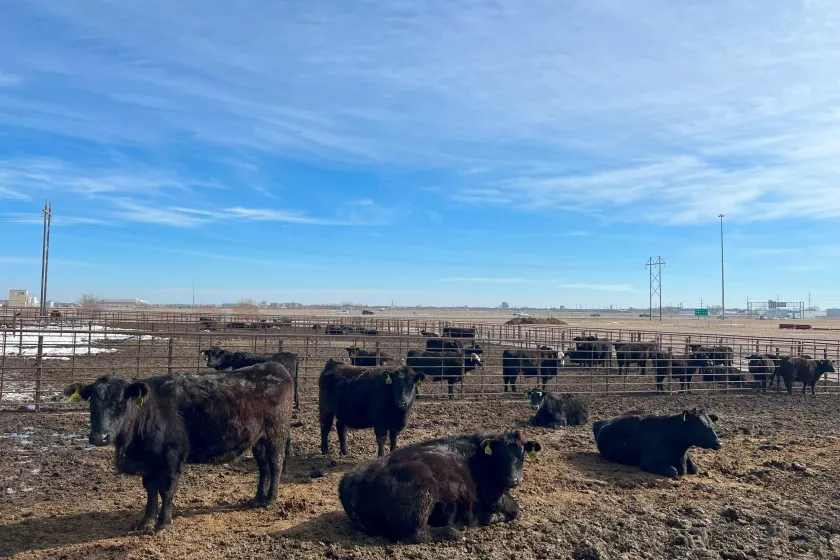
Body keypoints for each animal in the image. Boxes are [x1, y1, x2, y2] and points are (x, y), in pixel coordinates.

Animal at [63, 362, 294, 533]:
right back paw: (257, 499)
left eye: (121, 403)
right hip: (258, 439)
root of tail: (275, 366)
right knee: (263, 466)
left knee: (276, 463)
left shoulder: (172, 457)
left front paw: (163, 523)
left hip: (277, 432)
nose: (99, 437)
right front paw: (145, 522)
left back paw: (270, 499)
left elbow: (166, 490)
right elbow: (150, 489)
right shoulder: (149, 462)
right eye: (91, 403)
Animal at [338, 430, 541, 543]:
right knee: (417, 534)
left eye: (522, 455)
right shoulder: (494, 495)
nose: (513, 480)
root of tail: (355, 476)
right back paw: (453, 532)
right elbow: (515, 508)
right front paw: (490, 517)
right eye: (499, 456)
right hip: (424, 490)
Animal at [593, 408, 722, 478]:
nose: (719, 443)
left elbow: (695, 468)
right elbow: (673, 471)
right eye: (700, 425)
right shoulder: (647, 462)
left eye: (712, 424)